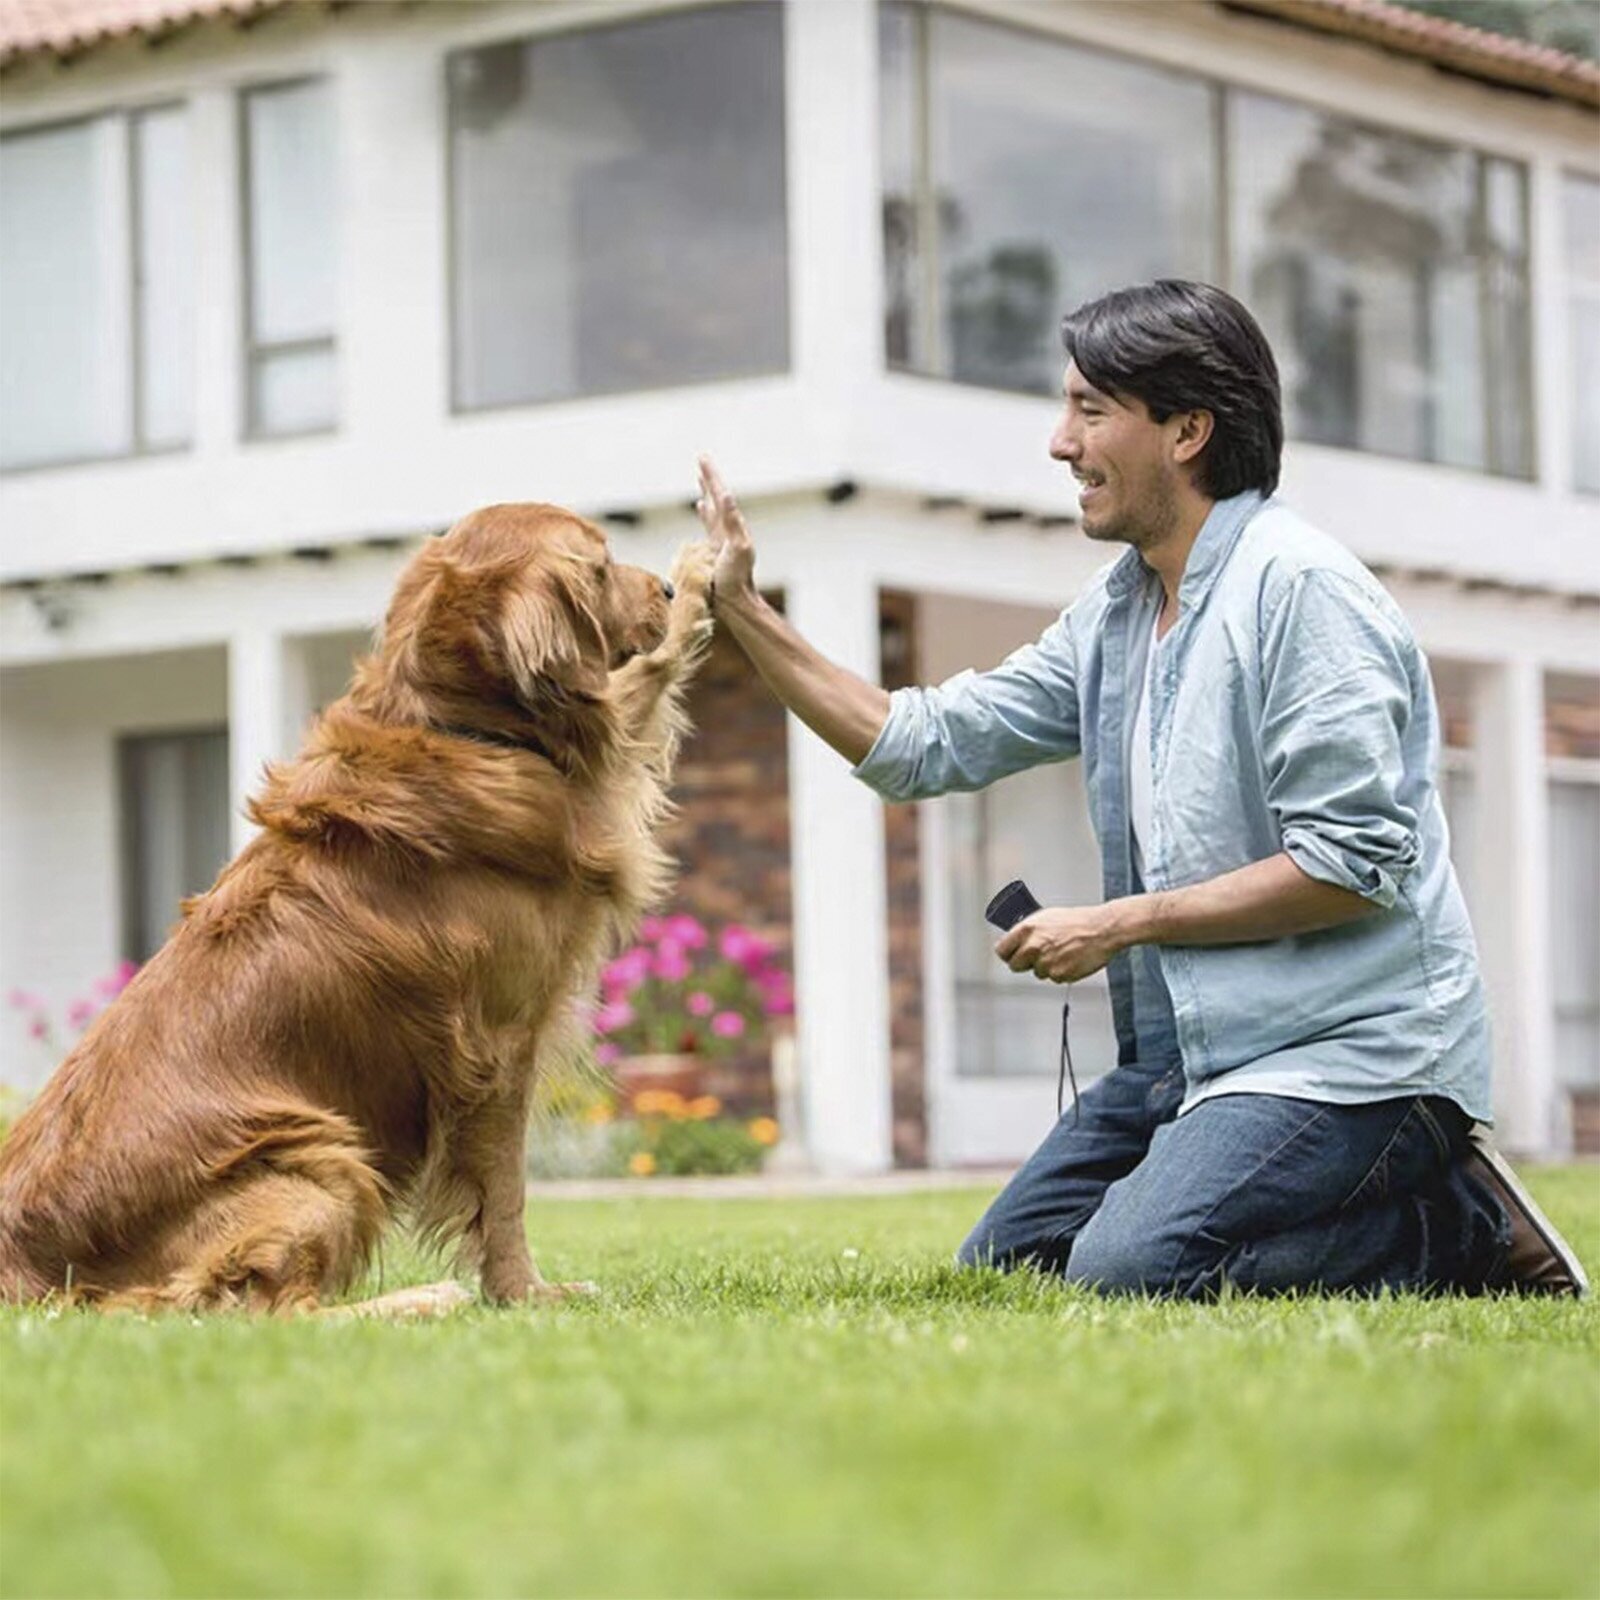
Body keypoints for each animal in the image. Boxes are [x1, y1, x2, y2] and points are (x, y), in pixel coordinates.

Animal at [0, 505, 713, 1318]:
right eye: (598, 565)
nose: (661, 589)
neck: (455, 725)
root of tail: (21, 1261)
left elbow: (636, 683)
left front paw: (698, 583)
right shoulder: (498, 1045)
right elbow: (503, 1194)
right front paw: (527, 1293)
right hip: (318, 1155)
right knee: (272, 1311)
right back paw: (427, 1298)